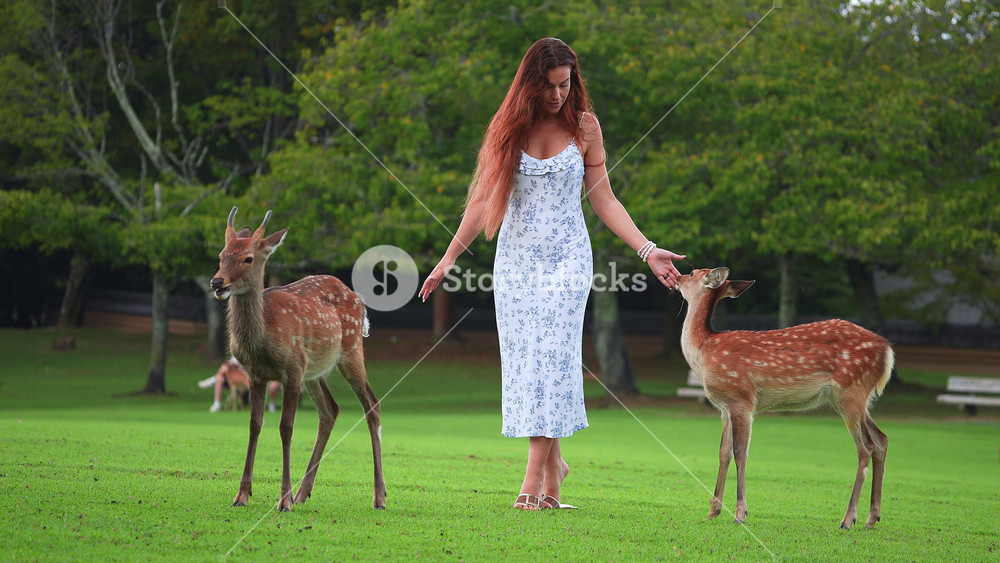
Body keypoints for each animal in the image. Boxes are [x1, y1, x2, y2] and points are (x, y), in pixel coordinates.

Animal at [210, 206, 386, 512]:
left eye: (248, 258)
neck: (263, 339)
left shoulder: (291, 369)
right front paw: (242, 495)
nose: (217, 282)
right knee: (330, 410)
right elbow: (254, 425)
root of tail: (360, 301)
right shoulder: (255, 374)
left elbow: (285, 428)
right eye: (221, 255)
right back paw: (304, 492)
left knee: (371, 405)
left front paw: (283, 500)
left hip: (350, 350)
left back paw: (379, 497)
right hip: (313, 372)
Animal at [676, 267, 893, 530]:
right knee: (881, 439)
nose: (676, 278)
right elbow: (723, 453)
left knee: (865, 447)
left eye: (692, 273)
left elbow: (740, 453)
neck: (704, 351)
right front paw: (712, 511)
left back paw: (848, 519)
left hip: (851, 391)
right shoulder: (724, 407)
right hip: (854, 399)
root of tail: (887, 351)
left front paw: (740, 513)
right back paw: (872, 518)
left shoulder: (742, 399)